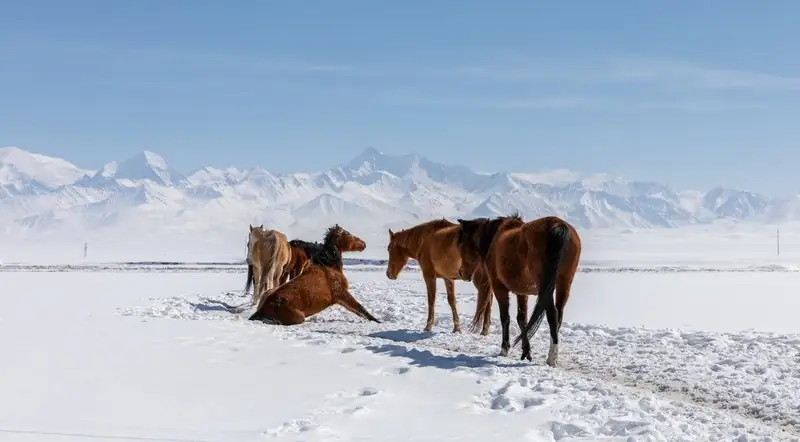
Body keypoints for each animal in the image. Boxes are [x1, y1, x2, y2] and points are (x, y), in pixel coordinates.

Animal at [248, 224, 381, 325]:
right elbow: (361, 309)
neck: (329, 265)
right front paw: (378, 321)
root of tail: (264, 307)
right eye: (347, 233)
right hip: (298, 317)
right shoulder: (341, 293)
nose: (363, 244)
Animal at [455, 214, 581, 367]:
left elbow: (505, 318)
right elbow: (522, 319)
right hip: (564, 282)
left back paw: (551, 358)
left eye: (461, 244)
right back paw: (553, 355)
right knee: (559, 315)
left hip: (545, 286)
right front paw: (526, 352)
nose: (461, 273)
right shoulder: (522, 292)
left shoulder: (499, 288)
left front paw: (504, 349)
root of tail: (559, 225)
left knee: (552, 314)